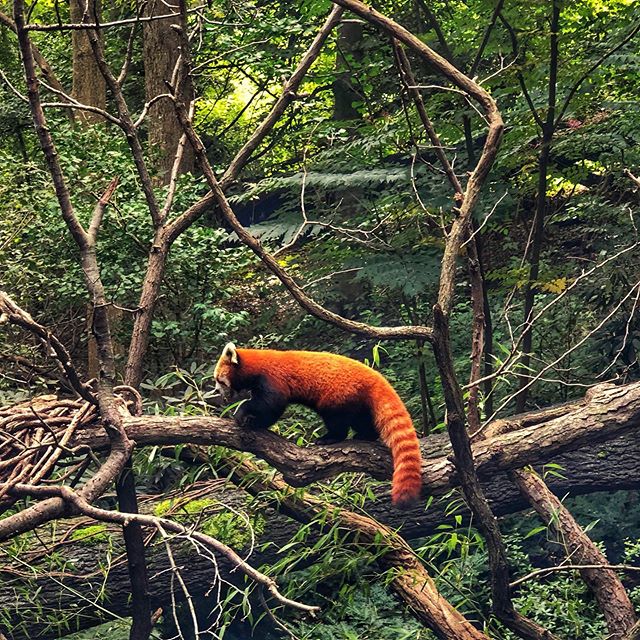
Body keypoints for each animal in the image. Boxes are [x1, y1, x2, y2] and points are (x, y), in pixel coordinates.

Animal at [215, 342, 424, 508]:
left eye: (219, 380)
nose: (216, 391)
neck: (256, 365)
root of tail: (374, 376)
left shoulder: (272, 380)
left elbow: (270, 405)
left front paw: (244, 415)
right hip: (358, 400)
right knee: (362, 420)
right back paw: (365, 435)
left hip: (338, 395)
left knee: (337, 421)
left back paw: (329, 438)